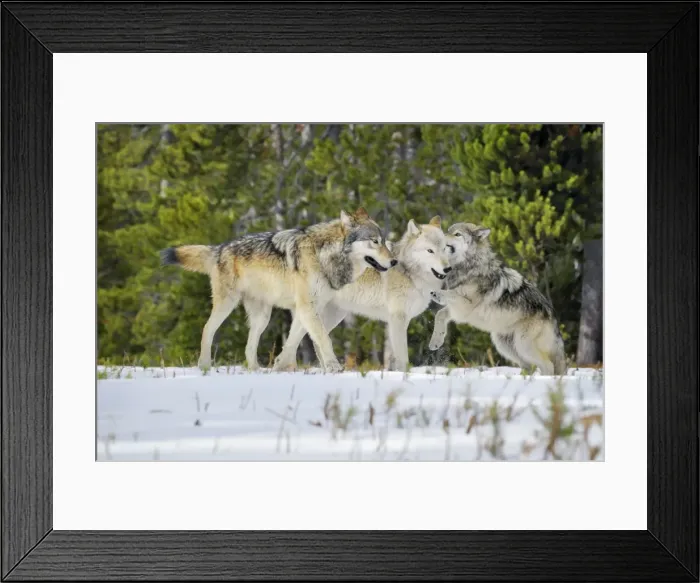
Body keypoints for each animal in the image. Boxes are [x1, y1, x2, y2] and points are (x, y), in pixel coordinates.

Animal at [160, 208, 396, 372]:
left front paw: (280, 366)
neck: (324, 256)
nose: (394, 261)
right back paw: (204, 366)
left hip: (262, 317)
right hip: (227, 305)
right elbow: (323, 338)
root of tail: (220, 248)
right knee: (207, 329)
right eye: (375, 241)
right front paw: (334, 367)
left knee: (249, 346)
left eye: (384, 241)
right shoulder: (307, 307)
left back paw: (256, 370)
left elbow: (293, 340)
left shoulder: (306, 309)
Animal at [271, 216, 452, 372]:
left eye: (445, 249)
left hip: (334, 314)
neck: (409, 272)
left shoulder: (396, 321)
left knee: (312, 340)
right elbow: (403, 356)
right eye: (430, 251)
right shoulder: (398, 319)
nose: (448, 269)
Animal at [428, 222, 567, 376]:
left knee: (548, 365)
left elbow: (451, 294)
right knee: (529, 366)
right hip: (505, 346)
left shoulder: (466, 306)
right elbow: (440, 315)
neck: (469, 266)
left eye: (457, 234)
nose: (438, 236)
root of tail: (552, 315)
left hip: (523, 345)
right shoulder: (457, 311)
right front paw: (435, 342)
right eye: (447, 231)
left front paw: (437, 293)